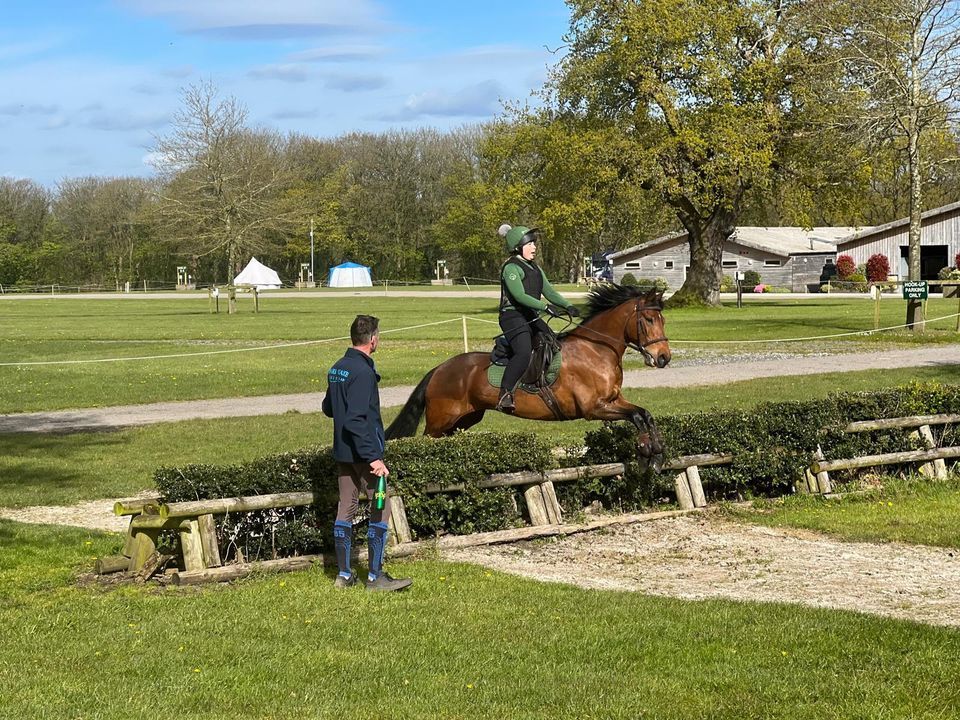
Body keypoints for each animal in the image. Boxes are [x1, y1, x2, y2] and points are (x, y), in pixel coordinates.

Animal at [384, 284, 676, 470]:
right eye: (649, 320)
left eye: (663, 320)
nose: (663, 358)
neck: (596, 349)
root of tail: (439, 369)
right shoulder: (594, 408)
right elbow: (636, 417)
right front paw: (645, 452)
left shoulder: (614, 401)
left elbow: (645, 414)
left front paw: (657, 454)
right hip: (439, 421)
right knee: (423, 442)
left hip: (464, 420)